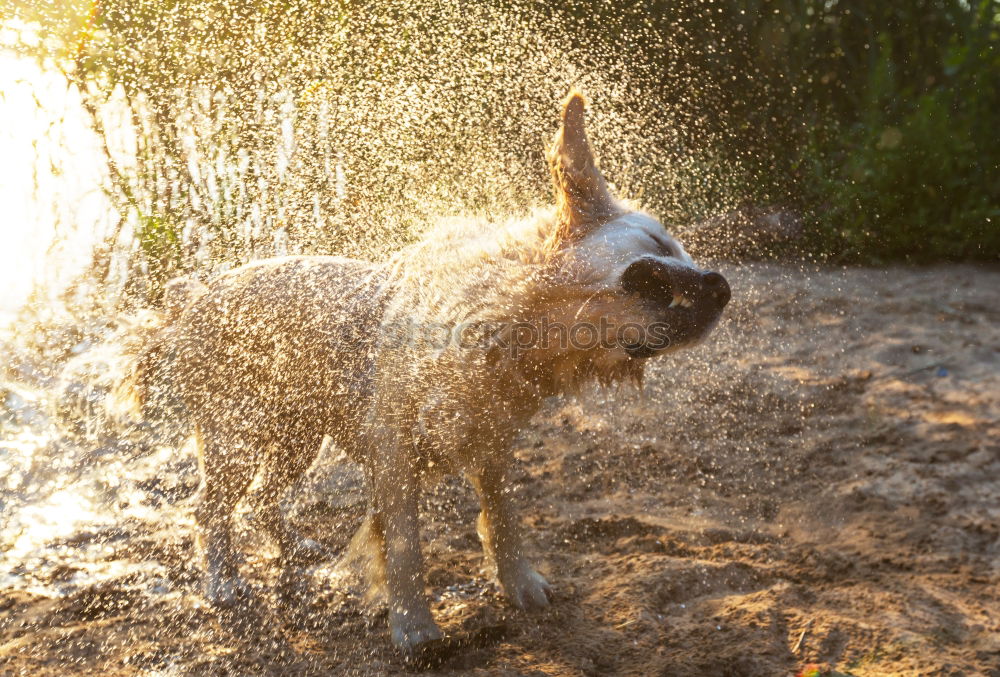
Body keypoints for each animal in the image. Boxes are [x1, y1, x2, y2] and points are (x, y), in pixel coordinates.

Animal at [121, 92, 732, 652]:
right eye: (657, 246)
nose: (724, 287)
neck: (509, 323)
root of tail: (196, 294)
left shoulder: (493, 440)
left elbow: (502, 516)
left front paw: (521, 585)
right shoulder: (393, 454)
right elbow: (405, 548)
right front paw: (415, 629)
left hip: (298, 435)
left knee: (263, 500)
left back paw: (295, 548)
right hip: (238, 436)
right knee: (210, 509)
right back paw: (223, 582)